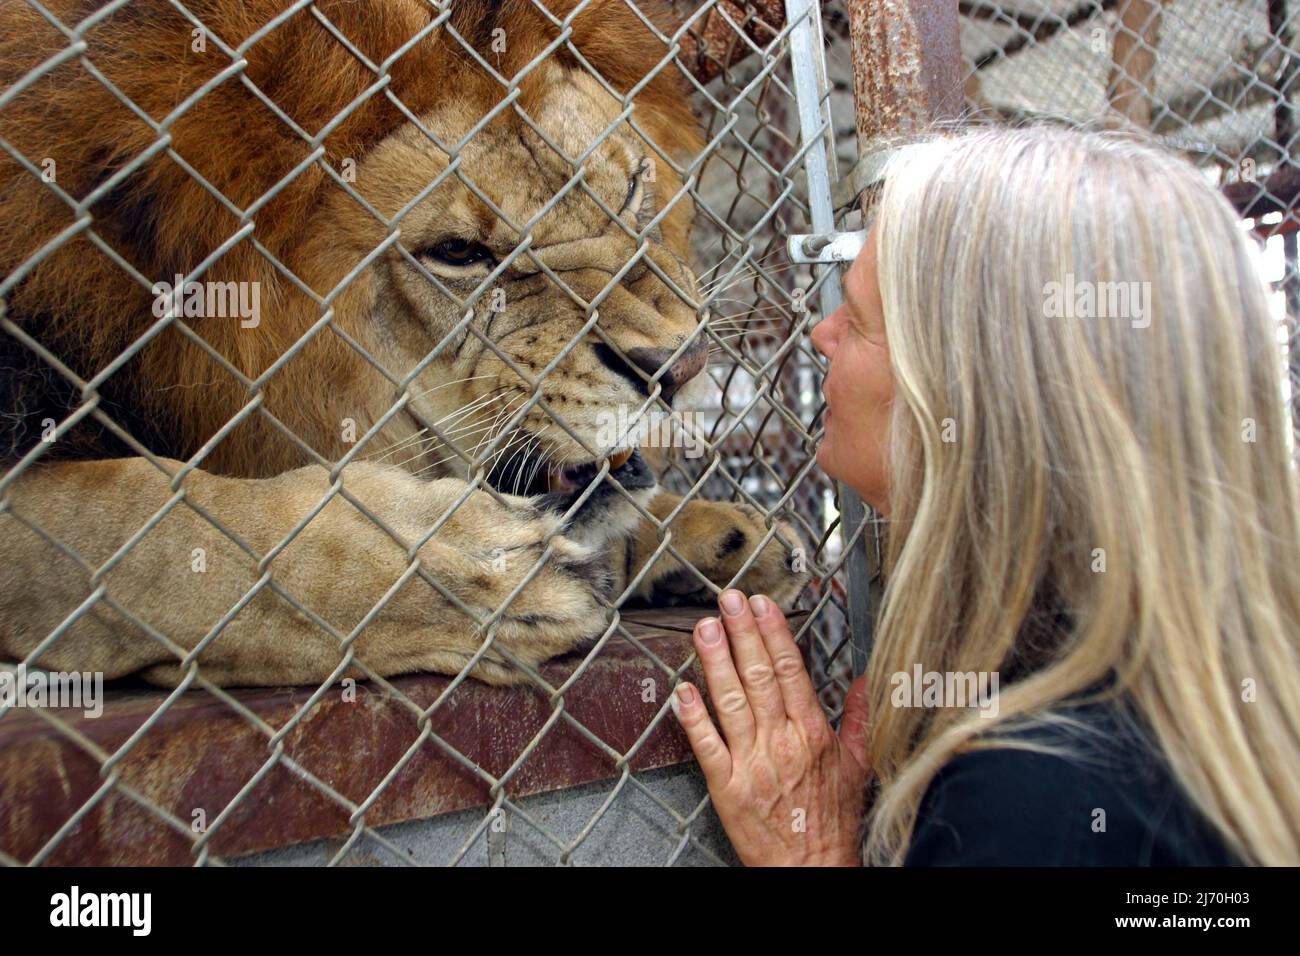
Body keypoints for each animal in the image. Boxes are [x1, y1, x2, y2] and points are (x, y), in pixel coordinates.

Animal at [0, 0, 806, 686]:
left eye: (635, 190)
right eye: (458, 253)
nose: (681, 366)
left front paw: (723, 534)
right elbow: (156, 522)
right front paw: (479, 568)